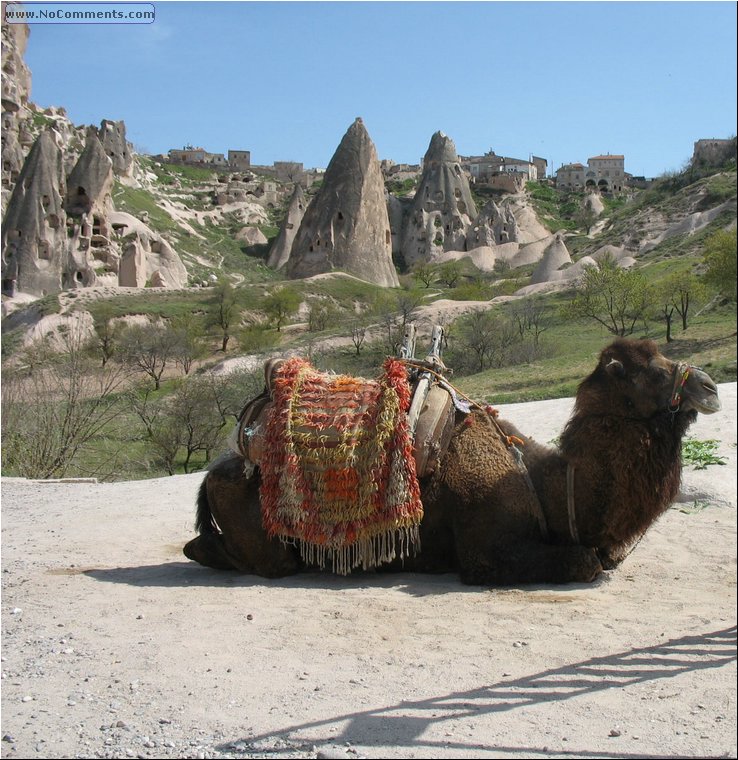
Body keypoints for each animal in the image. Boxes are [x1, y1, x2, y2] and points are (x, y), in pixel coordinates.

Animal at [184, 340, 720, 588]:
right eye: (652, 372)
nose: (709, 386)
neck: (546, 486)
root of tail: (221, 464)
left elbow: (597, 556)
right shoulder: (485, 553)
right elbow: (586, 562)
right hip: (266, 539)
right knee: (235, 555)